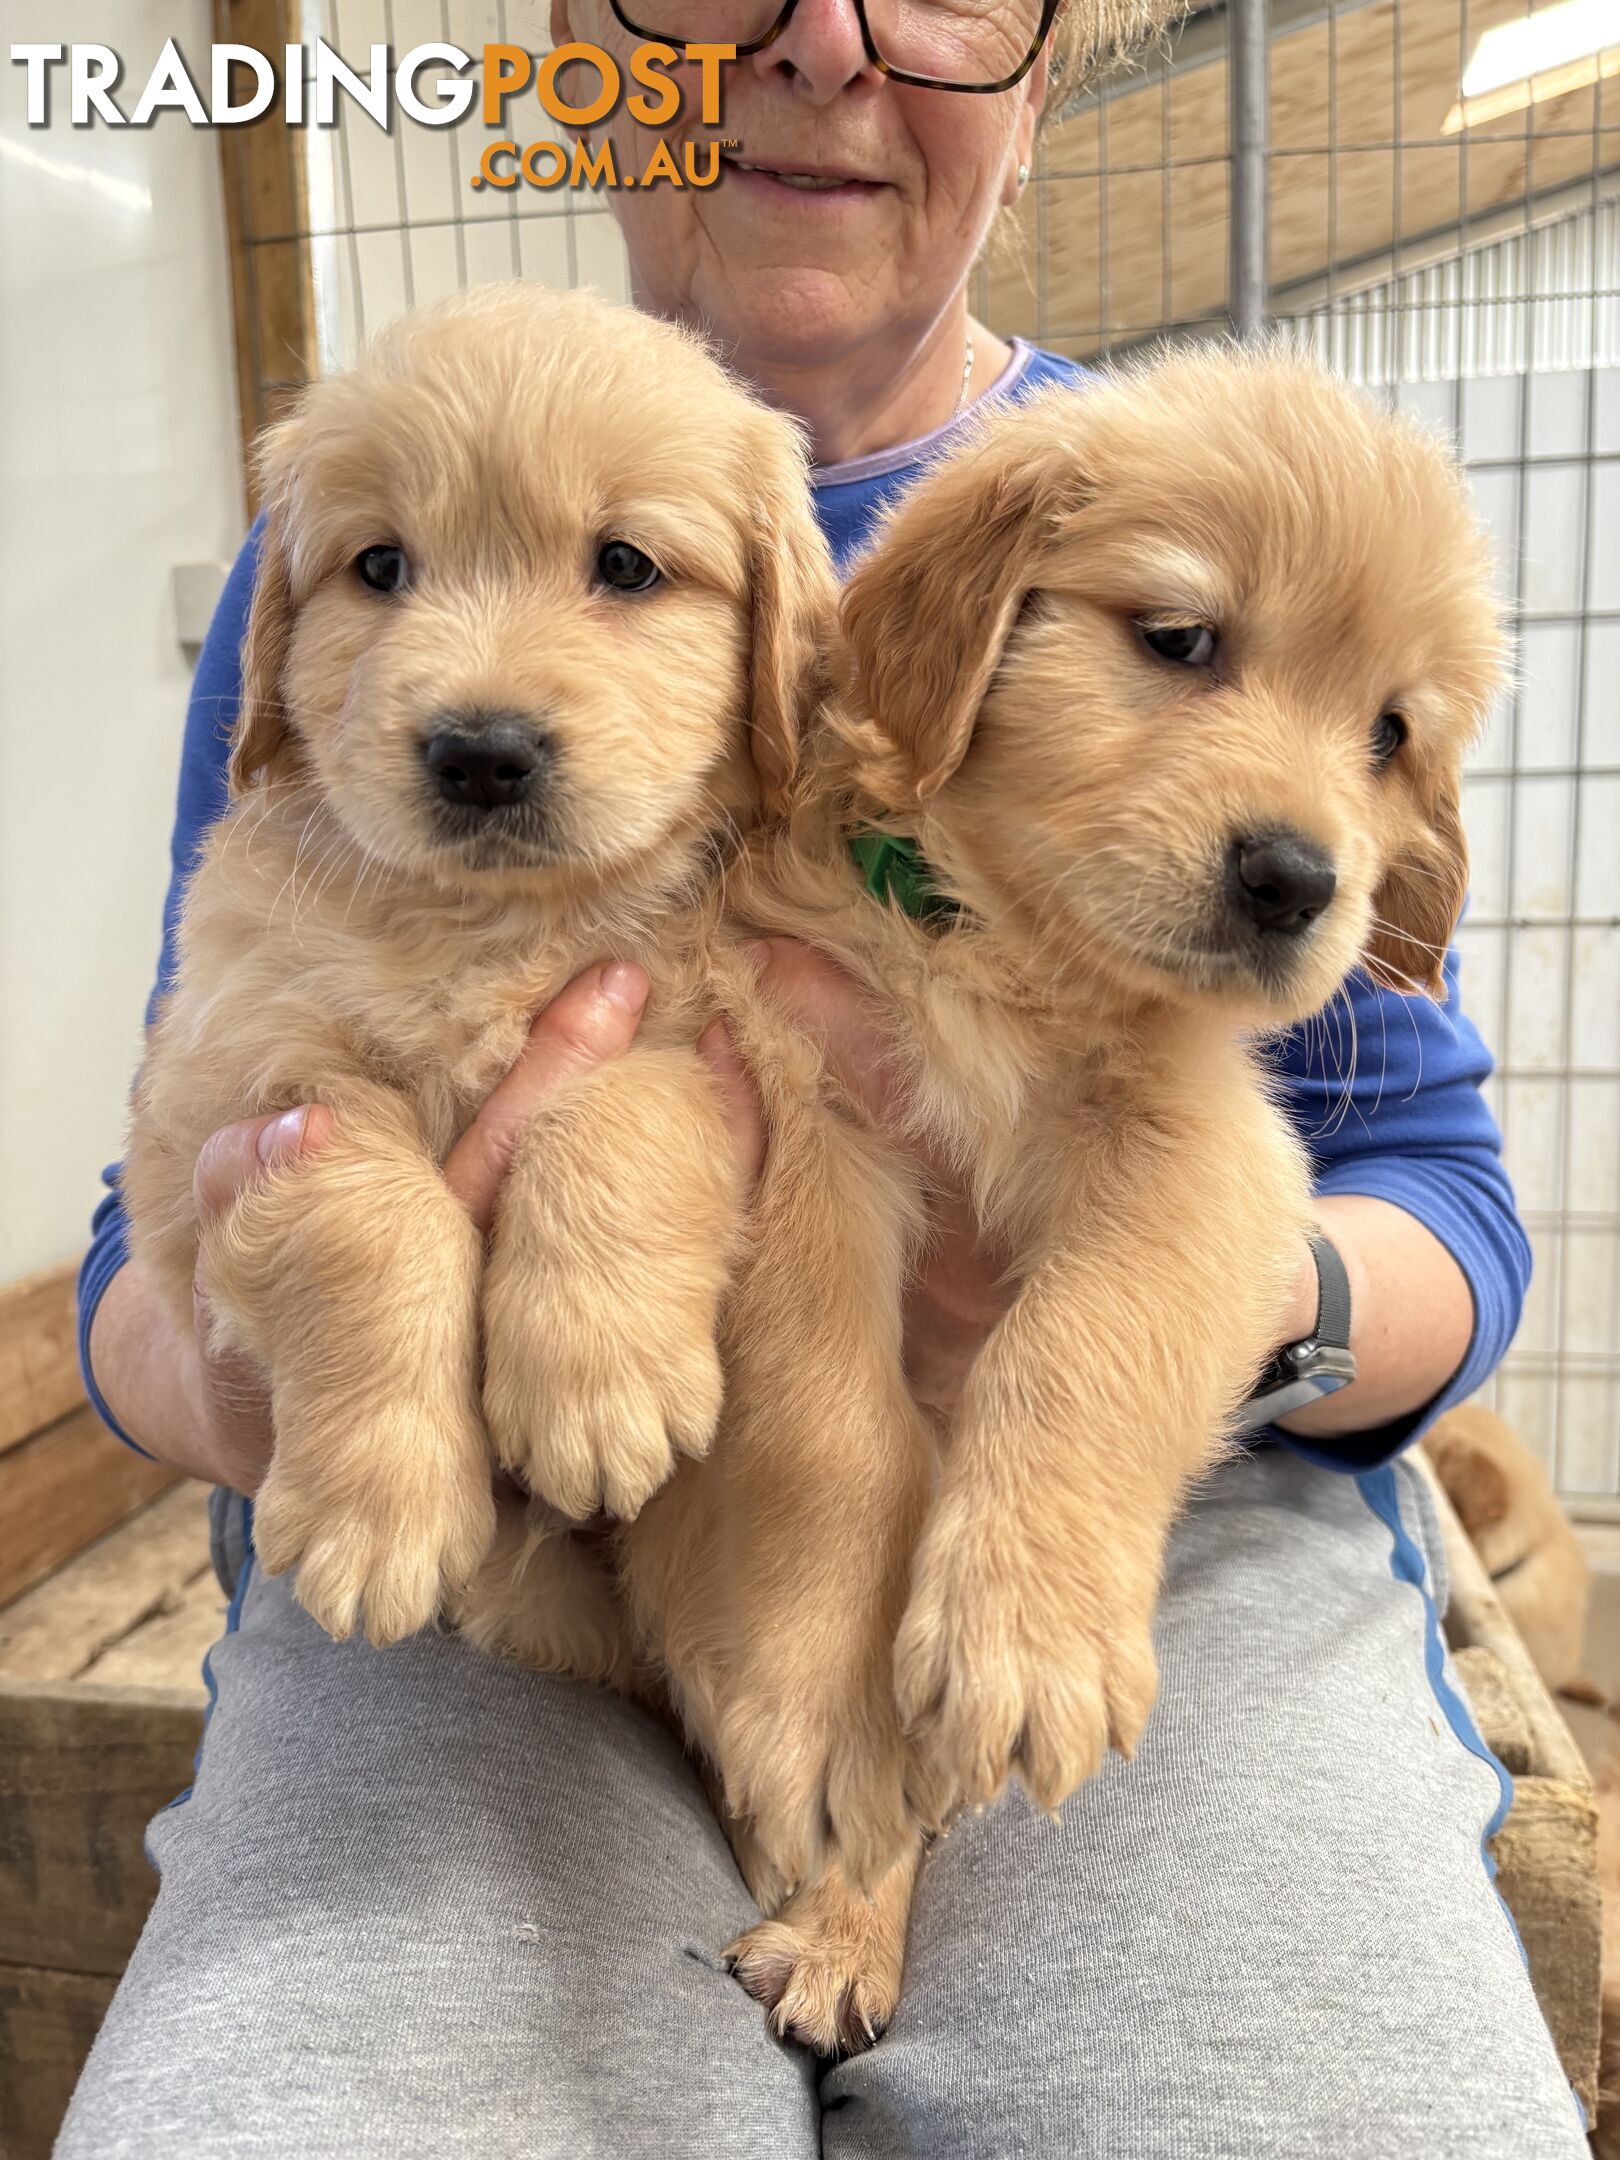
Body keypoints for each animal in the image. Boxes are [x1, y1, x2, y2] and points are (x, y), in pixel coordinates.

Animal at [125, 278, 829, 1641]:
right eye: (379, 566)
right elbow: (368, 1218)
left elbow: (619, 1115)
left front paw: (601, 1390)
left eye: (626, 565)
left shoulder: (701, 1019)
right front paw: (374, 1514)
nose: (482, 754)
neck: (493, 926)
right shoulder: (244, 1094)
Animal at [708, 345, 1512, 2047]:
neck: (1007, 951)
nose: (1297, 880)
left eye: (1390, 733)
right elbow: (825, 1420)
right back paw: (836, 1913)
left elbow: (1085, 1336)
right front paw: (819, 1691)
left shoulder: (1210, 1162)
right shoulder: (801, 1099)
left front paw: (1030, 1628)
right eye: (1181, 638)